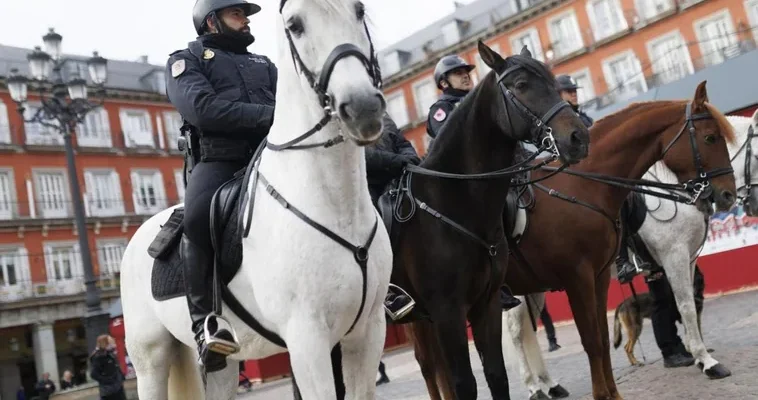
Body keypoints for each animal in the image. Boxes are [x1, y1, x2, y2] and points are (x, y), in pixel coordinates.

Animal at [120, 1, 392, 398]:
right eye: (294, 25)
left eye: (358, 11)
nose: (362, 107)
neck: (335, 207)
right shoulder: (307, 339)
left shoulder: (368, 332)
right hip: (150, 358)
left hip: (223, 365)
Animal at [392, 41, 592, 400]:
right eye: (522, 85)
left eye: (552, 81)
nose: (578, 138)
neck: (453, 202)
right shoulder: (448, 313)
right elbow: (465, 382)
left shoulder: (486, 305)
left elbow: (497, 375)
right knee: (426, 366)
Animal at [502, 82, 740, 400]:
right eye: (710, 137)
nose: (728, 195)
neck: (584, 184)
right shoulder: (672, 257)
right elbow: (686, 306)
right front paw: (707, 361)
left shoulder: (684, 259)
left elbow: (683, 303)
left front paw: (696, 354)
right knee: (517, 332)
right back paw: (533, 386)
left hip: (534, 285)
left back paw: (549, 384)